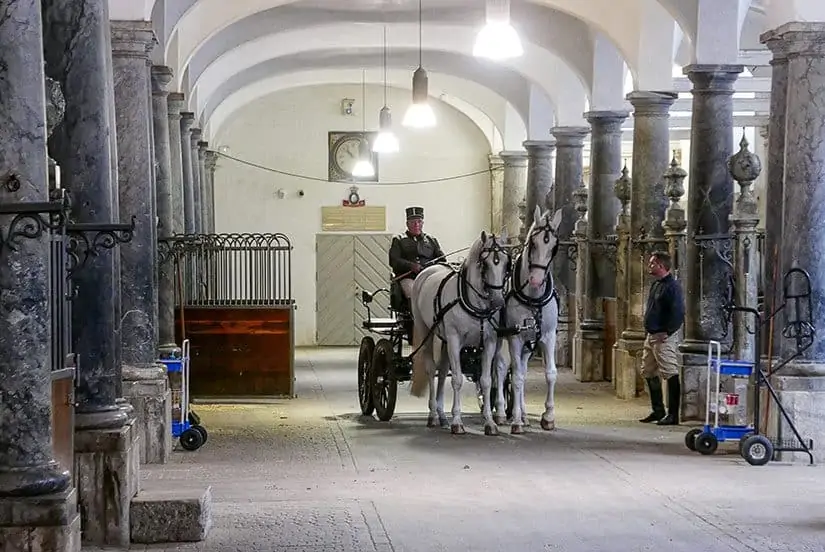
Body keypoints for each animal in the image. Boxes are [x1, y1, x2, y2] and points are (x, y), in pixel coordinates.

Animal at [408, 230, 512, 436]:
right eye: (485, 264)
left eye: (506, 264)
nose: (498, 302)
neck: (473, 302)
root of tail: (428, 270)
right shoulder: (455, 340)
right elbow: (456, 380)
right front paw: (457, 422)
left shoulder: (489, 342)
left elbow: (486, 381)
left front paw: (490, 422)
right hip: (426, 330)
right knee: (431, 369)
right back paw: (433, 415)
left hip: (444, 340)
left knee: (442, 371)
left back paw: (441, 416)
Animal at [496, 205, 560, 434]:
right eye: (533, 243)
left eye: (554, 247)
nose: (536, 280)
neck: (533, 298)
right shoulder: (515, 338)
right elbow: (516, 377)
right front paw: (515, 420)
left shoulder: (547, 336)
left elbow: (550, 373)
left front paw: (548, 416)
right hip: (503, 339)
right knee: (501, 368)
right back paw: (501, 412)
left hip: (528, 344)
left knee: (520, 369)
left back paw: (523, 414)